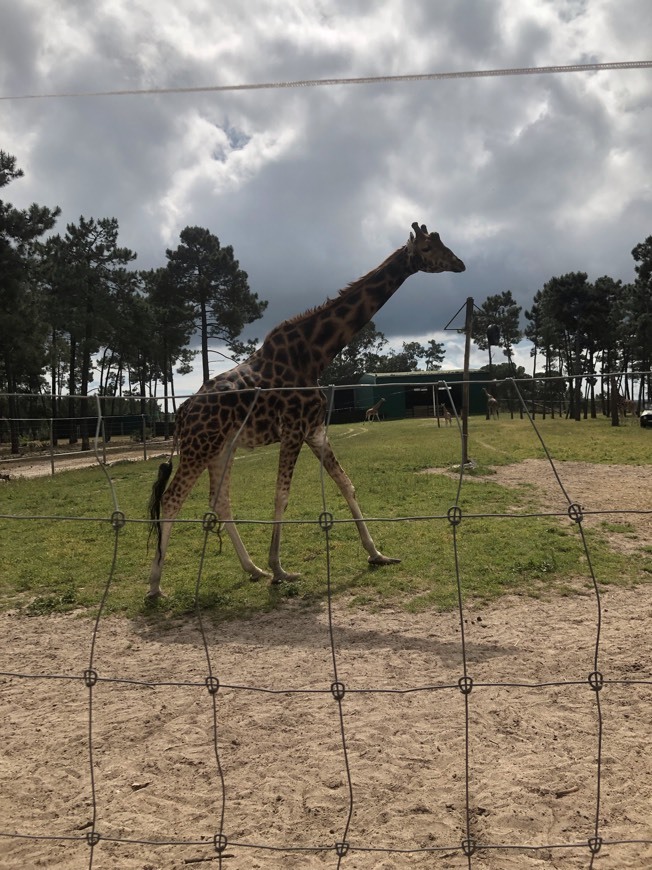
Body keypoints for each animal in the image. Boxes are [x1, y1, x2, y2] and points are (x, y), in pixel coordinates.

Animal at [146, 223, 464, 600]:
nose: (460, 264)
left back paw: (251, 569)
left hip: (221, 449)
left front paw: (377, 554)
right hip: (199, 447)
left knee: (219, 500)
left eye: (443, 242)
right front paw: (280, 569)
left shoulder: (316, 431)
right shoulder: (294, 430)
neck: (315, 355)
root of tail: (181, 414)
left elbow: (347, 485)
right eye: (428, 247)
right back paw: (155, 585)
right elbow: (281, 495)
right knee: (172, 500)